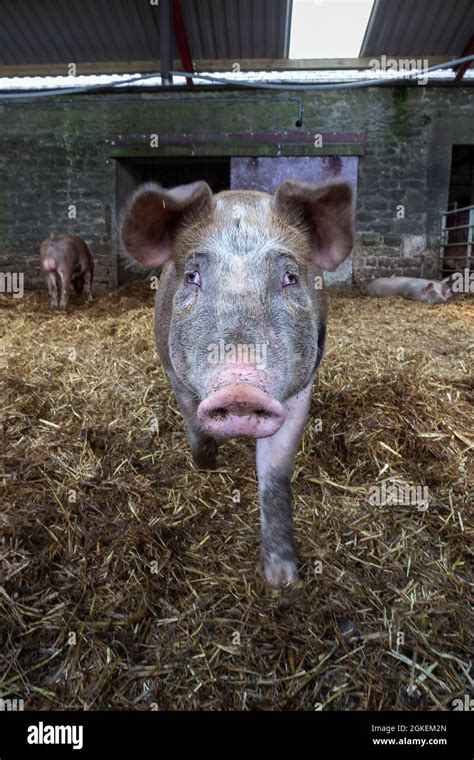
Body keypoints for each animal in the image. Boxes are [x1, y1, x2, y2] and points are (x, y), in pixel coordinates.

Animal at [120, 180, 354, 588]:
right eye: (192, 276)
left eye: (290, 277)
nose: (241, 387)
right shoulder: (174, 372)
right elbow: (194, 422)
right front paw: (205, 465)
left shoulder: (300, 389)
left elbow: (275, 473)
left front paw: (283, 580)